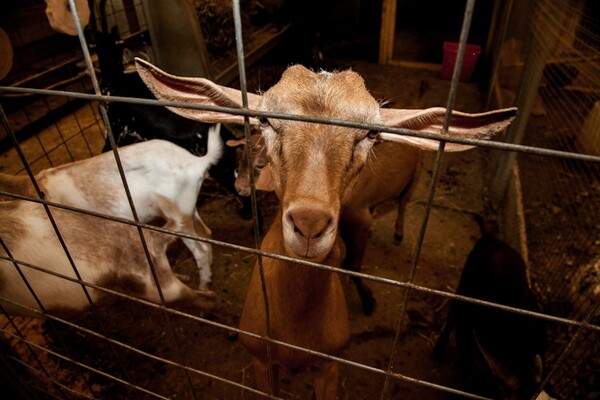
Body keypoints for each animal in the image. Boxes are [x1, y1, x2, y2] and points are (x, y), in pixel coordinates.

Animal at [135, 59, 516, 400]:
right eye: (264, 120)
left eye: (371, 133)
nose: (309, 224)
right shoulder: (260, 361)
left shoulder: (329, 365)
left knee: (403, 205)